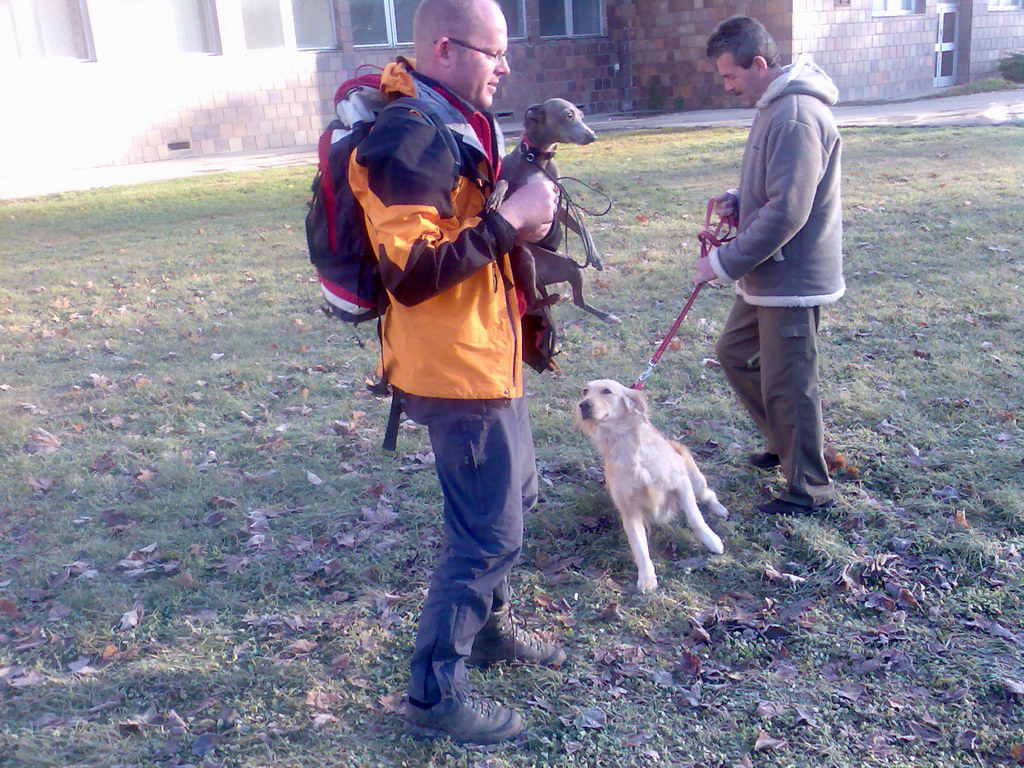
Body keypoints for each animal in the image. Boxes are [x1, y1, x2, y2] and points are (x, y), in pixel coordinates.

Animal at [577, 380, 729, 593]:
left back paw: (719, 509)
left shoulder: (681, 483)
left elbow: (695, 518)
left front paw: (712, 541)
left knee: (709, 494)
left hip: (696, 481)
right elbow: (639, 546)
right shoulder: (629, 509)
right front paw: (647, 577)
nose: (583, 405)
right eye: (585, 391)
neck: (626, 446)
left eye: (606, 391)